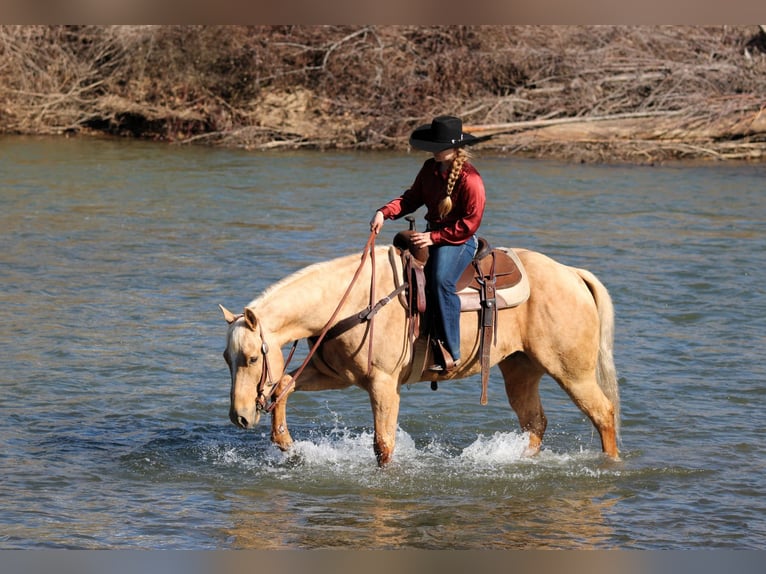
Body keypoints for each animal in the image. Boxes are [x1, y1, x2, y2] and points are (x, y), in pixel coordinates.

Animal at [219, 240, 620, 468]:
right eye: (227, 358)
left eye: (252, 358)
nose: (240, 417)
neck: (351, 301)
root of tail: (572, 274)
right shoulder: (336, 376)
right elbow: (284, 383)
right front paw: (286, 444)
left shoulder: (382, 385)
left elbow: (383, 444)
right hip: (520, 369)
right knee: (535, 423)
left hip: (572, 371)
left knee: (603, 414)